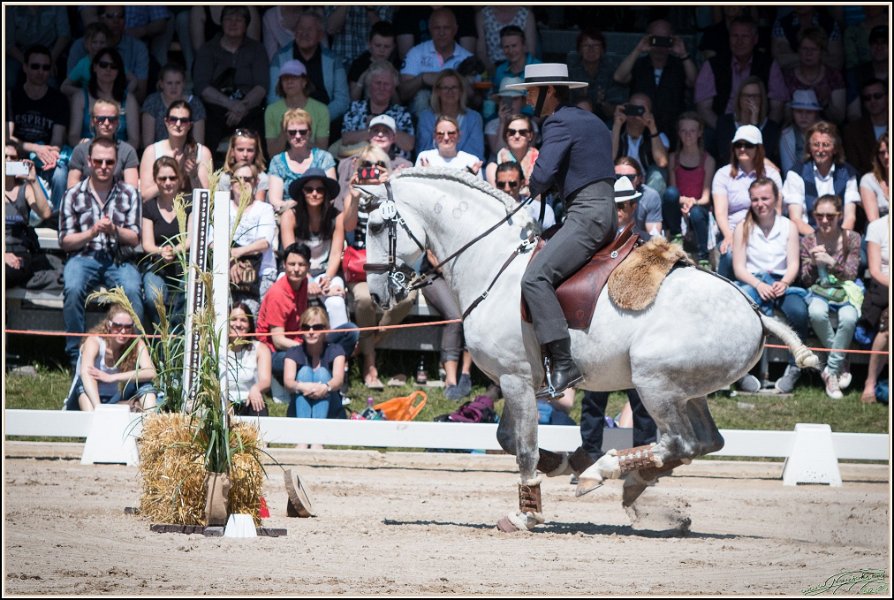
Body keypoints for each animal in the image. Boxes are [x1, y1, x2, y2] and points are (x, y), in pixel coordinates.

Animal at [359, 167, 818, 532]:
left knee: (680, 443)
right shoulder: (517, 380)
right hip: (689, 393)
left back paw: (605, 471)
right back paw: (630, 482)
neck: (492, 263)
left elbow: (522, 446)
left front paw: (527, 512)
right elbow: (507, 437)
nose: (379, 294)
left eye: (377, 227)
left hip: (655, 384)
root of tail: (754, 311)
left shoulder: (515, 378)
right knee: (707, 442)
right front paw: (563, 463)